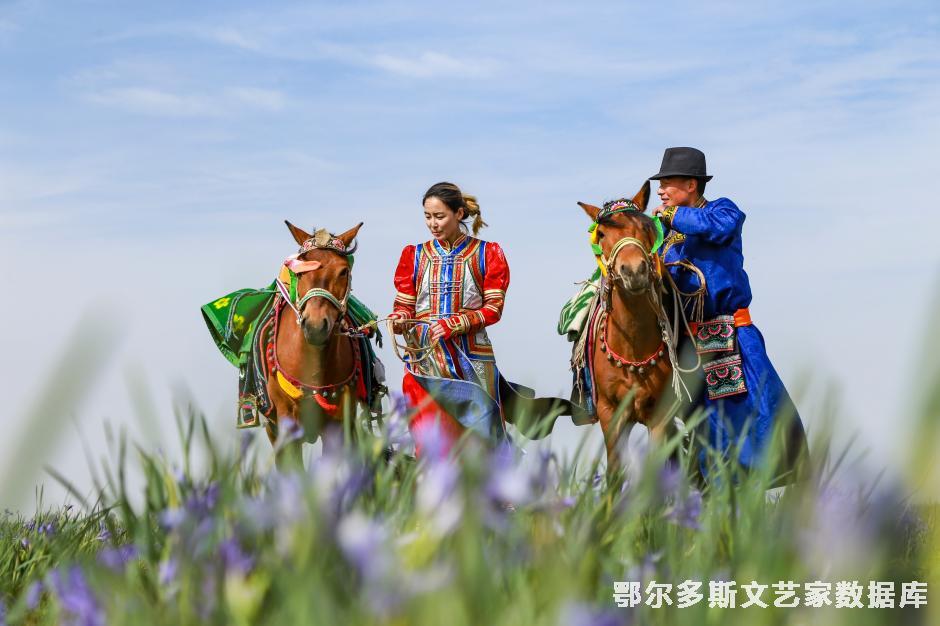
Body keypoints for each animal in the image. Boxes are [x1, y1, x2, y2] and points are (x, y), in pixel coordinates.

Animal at [577, 182, 688, 479]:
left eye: (647, 226)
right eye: (602, 234)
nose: (634, 270)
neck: (633, 348)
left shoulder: (660, 415)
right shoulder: (610, 413)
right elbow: (615, 472)